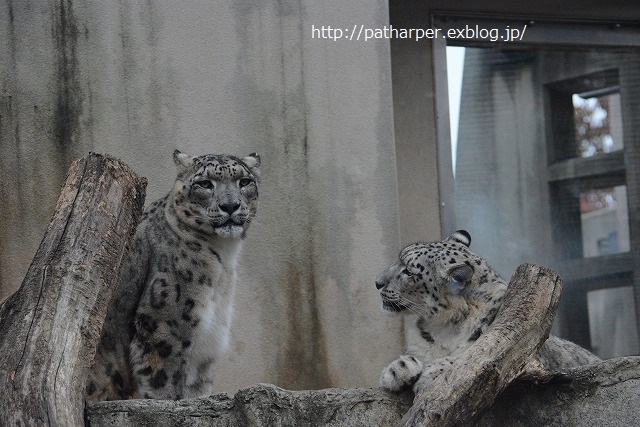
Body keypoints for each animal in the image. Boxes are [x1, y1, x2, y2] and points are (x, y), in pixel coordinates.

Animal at [85, 150, 260, 402]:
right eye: (205, 183)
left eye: (244, 181)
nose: (230, 205)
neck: (224, 260)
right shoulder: (166, 327)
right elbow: (166, 384)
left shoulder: (205, 349)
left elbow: (197, 389)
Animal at [376, 231, 600, 394]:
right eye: (399, 261)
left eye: (408, 271)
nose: (377, 282)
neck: (444, 328)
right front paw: (398, 368)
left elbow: (471, 359)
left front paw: (431, 372)